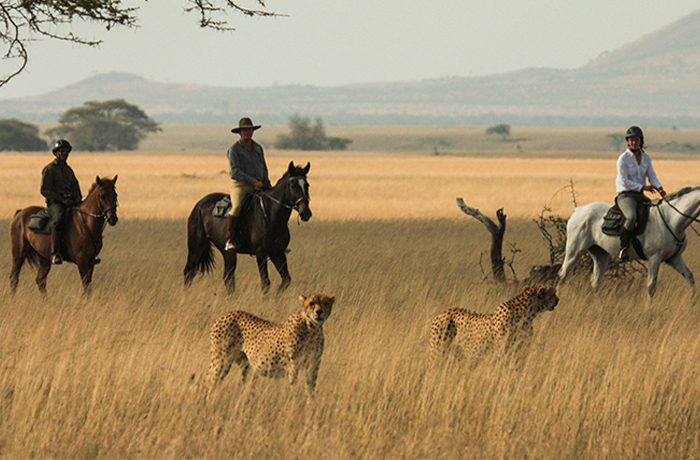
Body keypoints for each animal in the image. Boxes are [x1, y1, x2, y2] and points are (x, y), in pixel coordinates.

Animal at [184, 161, 312, 294]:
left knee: (228, 277)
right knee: (189, 271)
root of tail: (200, 204)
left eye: (307, 185)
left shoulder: (278, 253)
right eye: (292, 185)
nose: (306, 213)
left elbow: (286, 280)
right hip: (196, 246)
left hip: (227, 252)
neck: (270, 214)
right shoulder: (261, 254)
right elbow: (265, 283)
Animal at [206, 293, 335, 394]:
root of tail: (227, 314)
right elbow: (294, 387)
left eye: (326, 303)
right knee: (209, 383)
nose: (319, 312)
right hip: (222, 361)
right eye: (312, 303)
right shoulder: (293, 366)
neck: (312, 329)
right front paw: (294, 403)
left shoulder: (313, 365)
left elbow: (311, 389)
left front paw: (310, 405)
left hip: (245, 365)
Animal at [429, 284, 557, 364]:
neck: (528, 315)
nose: (558, 300)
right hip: (437, 350)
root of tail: (441, 313)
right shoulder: (503, 353)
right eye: (553, 293)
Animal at [559, 185, 700, 300]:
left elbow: (690, 277)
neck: (671, 219)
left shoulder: (674, 258)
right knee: (562, 276)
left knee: (596, 282)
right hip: (574, 252)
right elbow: (651, 286)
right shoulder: (655, 258)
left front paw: (692, 304)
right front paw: (648, 310)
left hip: (600, 254)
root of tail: (578, 210)